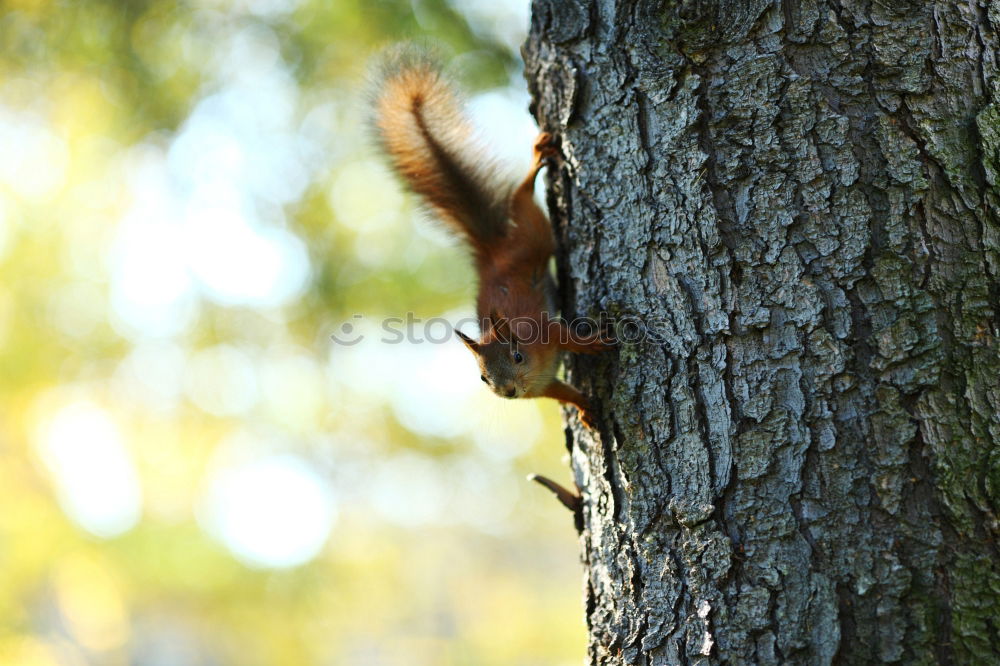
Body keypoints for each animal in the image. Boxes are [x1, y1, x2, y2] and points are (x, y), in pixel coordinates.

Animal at [372, 48, 612, 430]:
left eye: (517, 356)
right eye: (483, 378)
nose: (509, 392)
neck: (533, 364)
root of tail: (493, 252)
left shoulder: (544, 332)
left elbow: (564, 335)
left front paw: (589, 344)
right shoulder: (543, 386)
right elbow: (564, 392)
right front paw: (585, 409)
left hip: (533, 235)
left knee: (522, 198)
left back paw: (536, 159)